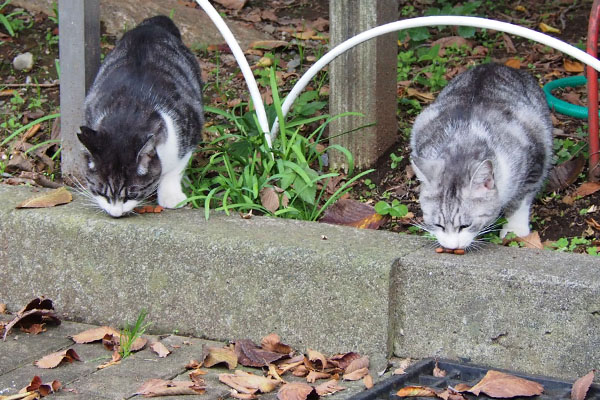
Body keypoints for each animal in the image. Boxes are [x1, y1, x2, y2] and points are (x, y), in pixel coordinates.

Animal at [77, 15, 204, 217]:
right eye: (100, 191)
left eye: (132, 194)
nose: (116, 214)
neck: (129, 113)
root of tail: (154, 23)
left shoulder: (189, 127)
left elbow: (175, 169)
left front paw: (171, 196)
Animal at [408, 62, 552, 250]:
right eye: (438, 225)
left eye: (465, 225)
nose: (451, 248)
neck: (463, 140)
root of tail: (494, 64)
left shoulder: (536, 158)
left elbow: (520, 200)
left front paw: (514, 229)